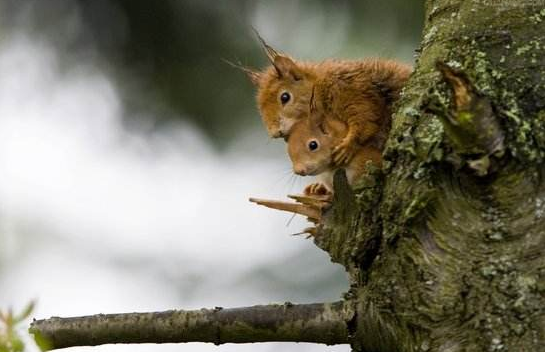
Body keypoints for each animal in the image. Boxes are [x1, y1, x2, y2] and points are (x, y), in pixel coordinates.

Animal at [239, 37, 412, 165]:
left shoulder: (347, 90)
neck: (319, 87)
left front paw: (347, 145)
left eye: (285, 97)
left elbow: (365, 118)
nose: (275, 133)